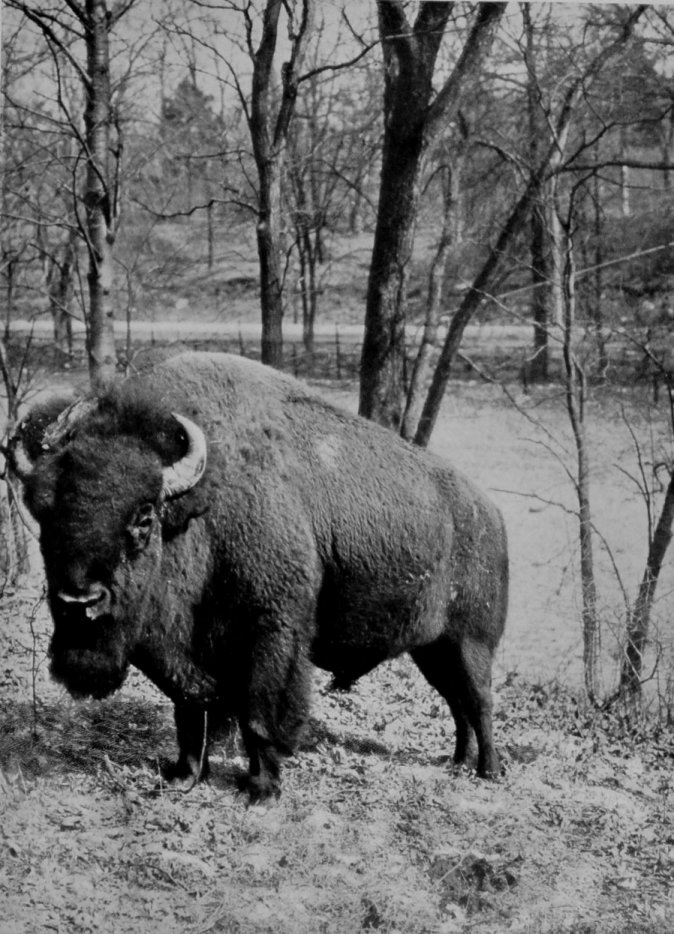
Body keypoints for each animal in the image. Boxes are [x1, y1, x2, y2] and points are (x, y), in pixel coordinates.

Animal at [10, 351, 508, 801]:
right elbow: (188, 710)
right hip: (432, 649)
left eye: (145, 516)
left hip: (471, 642)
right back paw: (458, 762)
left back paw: (488, 770)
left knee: (479, 700)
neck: (199, 507)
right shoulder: (177, 651)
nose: (79, 602)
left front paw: (262, 788)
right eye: (43, 511)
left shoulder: (271, 630)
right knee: (457, 703)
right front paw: (183, 775)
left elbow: (258, 712)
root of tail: (488, 511)